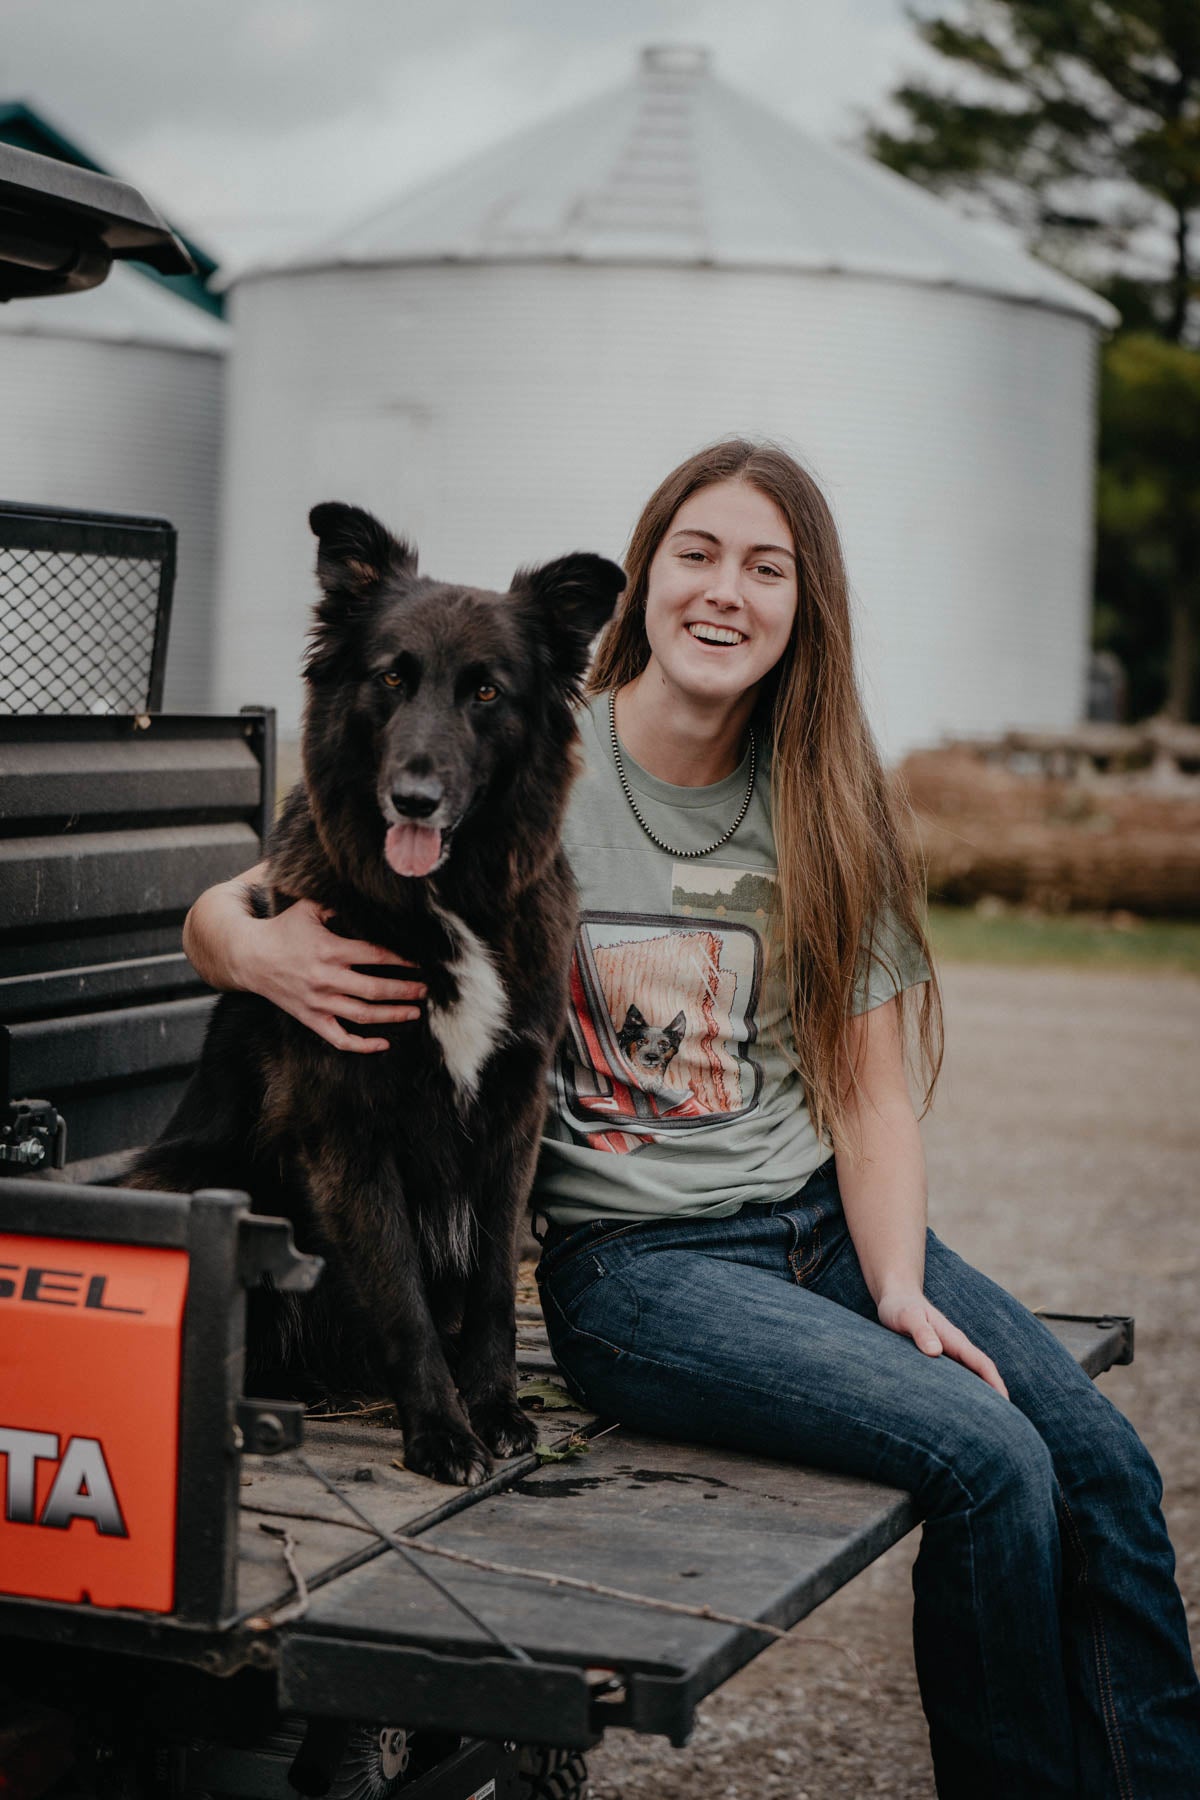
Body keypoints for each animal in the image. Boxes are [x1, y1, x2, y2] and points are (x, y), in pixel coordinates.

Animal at [132, 500, 626, 1483]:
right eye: (392, 678)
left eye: (486, 693)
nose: (414, 798)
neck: (445, 902)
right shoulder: (347, 1125)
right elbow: (400, 1291)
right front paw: (440, 1430)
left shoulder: (512, 1116)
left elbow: (487, 1286)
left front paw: (495, 1409)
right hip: (189, 1179)